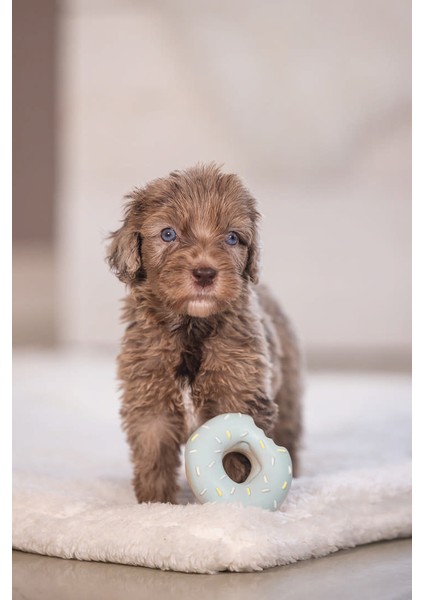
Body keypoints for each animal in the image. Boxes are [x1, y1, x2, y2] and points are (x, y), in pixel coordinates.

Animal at [107, 163, 303, 503]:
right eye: (168, 234)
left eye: (232, 238)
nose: (205, 273)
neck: (191, 327)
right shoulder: (150, 399)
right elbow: (153, 455)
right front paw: (155, 503)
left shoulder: (237, 391)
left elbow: (235, 458)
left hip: (288, 390)